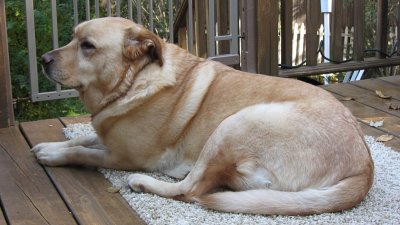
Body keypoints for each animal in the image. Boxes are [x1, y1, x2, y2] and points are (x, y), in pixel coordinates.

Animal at [32, 17, 374, 214]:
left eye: (88, 46)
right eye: (72, 37)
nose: (43, 59)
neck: (133, 80)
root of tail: (364, 167)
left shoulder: (123, 156)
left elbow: (83, 152)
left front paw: (54, 156)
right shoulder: (108, 137)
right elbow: (83, 138)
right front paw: (50, 146)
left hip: (234, 124)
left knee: (191, 190)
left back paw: (143, 183)